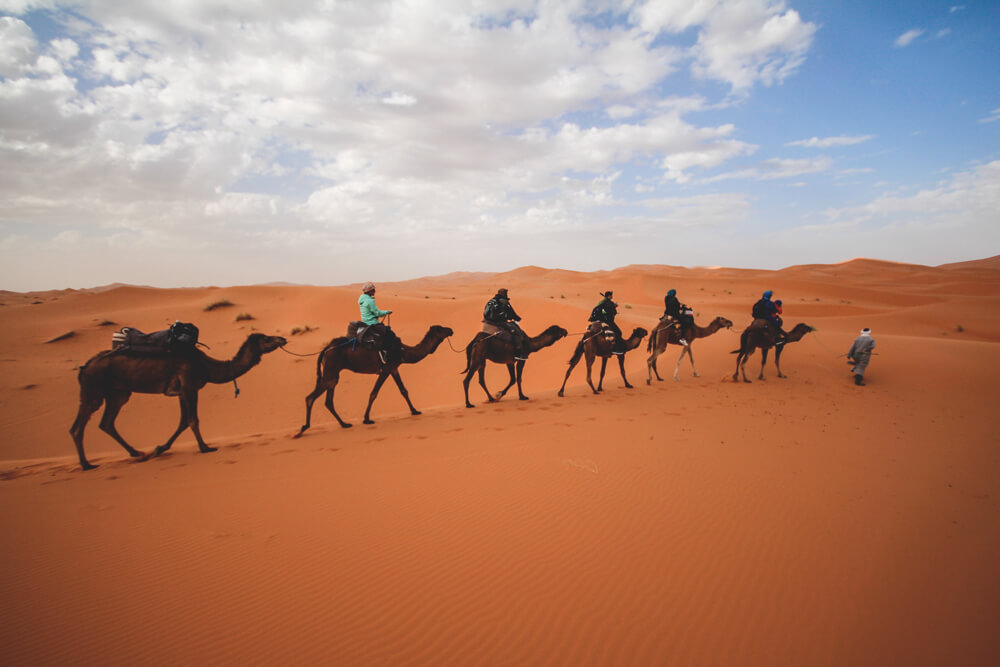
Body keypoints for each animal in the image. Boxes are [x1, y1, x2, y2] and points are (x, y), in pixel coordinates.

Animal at [68, 332, 288, 470]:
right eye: (266, 338)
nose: (283, 338)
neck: (208, 366)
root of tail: (85, 366)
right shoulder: (190, 386)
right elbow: (192, 419)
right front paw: (205, 447)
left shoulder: (182, 391)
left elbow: (183, 421)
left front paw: (159, 448)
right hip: (94, 389)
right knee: (79, 426)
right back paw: (87, 465)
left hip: (118, 392)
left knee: (106, 422)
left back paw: (136, 452)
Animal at [294, 324, 456, 434]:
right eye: (440, 329)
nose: (451, 330)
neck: (403, 351)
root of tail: (326, 349)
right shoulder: (386, 369)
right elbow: (374, 393)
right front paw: (367, 418)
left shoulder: (394, 368)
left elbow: (403, 391)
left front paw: (415, 411)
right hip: (331, 371)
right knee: (313, 397)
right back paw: (306, 427)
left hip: (332, 372)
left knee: (326, 400)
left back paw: (343, 424)